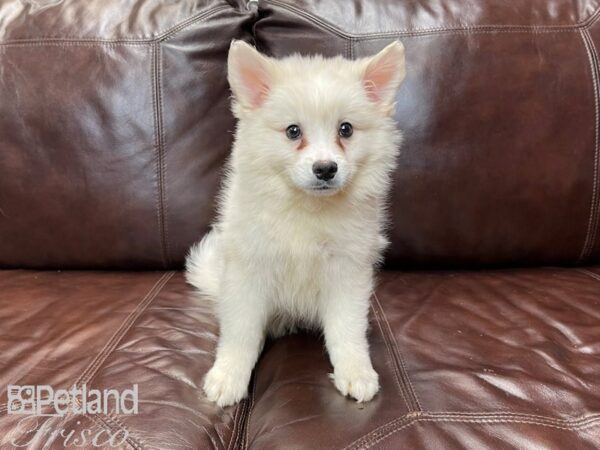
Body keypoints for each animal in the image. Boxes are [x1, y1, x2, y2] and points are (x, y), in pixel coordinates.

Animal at [185, 41, 406, 408]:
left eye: (346, 129)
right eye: (293, 131)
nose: (325, 169)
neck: (307, 207)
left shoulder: (347, 269)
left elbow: (346, 327)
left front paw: (356, 372)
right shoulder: (248, 269)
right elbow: (241, 331)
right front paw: (229, 375)